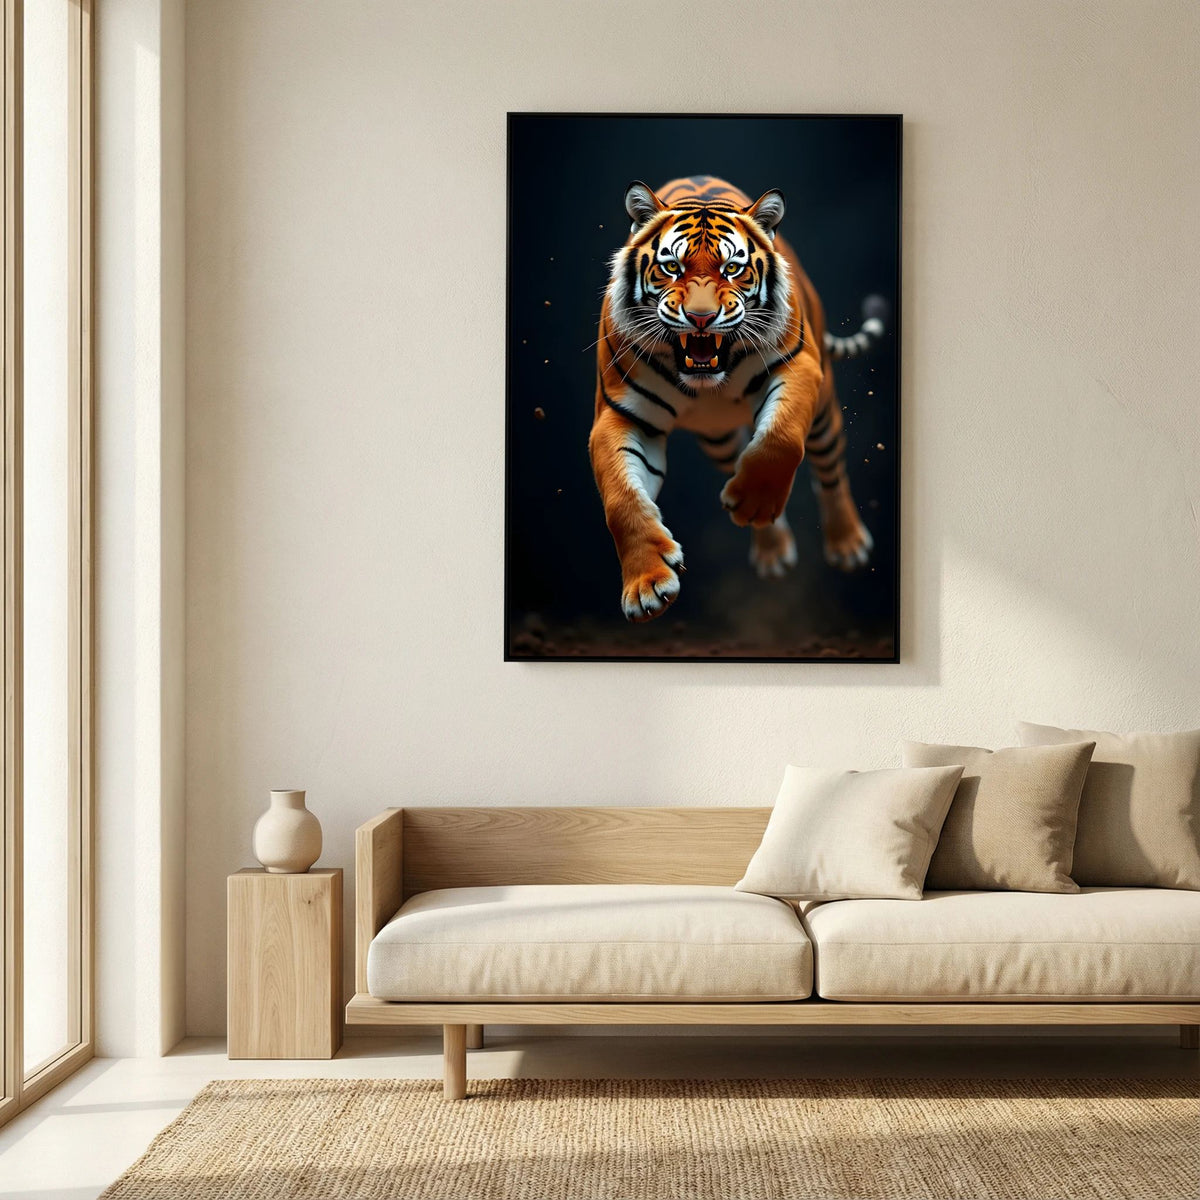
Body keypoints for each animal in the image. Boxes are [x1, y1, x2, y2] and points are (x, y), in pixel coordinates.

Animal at [588, 175, 884, 623]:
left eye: (732, 268)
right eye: (671, 267)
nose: (701, 318)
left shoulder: (799, 368)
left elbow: (780, 439)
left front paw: (755, 502)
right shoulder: (618, 415)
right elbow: (621, 501)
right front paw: (647, 587)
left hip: (824, 415)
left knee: (829, 471)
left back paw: (847, 543)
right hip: (718, 438)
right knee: (739, 456)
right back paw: (771, 550)